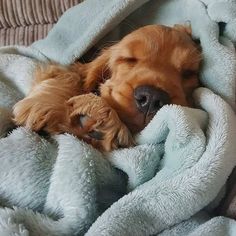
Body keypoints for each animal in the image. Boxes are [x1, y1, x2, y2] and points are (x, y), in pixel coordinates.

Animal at [12, 24, 201, 152]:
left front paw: (105, 121)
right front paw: (44, 104)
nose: (152, 98)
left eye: (188, 73)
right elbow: (71, 75)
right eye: (129, 59)